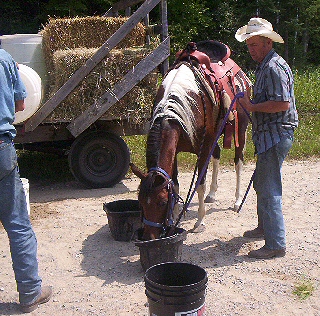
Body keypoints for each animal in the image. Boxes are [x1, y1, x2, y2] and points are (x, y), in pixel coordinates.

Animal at [131, 40, 251, 241]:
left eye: (161, 202)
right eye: (140, 202)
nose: (149, 237)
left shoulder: (203, 148)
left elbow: (199, 184)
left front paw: (199, 222)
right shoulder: (176, 150)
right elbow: (175, 184)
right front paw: (173, 221)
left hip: (239, 129)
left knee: (238, 162)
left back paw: (236, 200)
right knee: (217, 155)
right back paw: (212, 193)